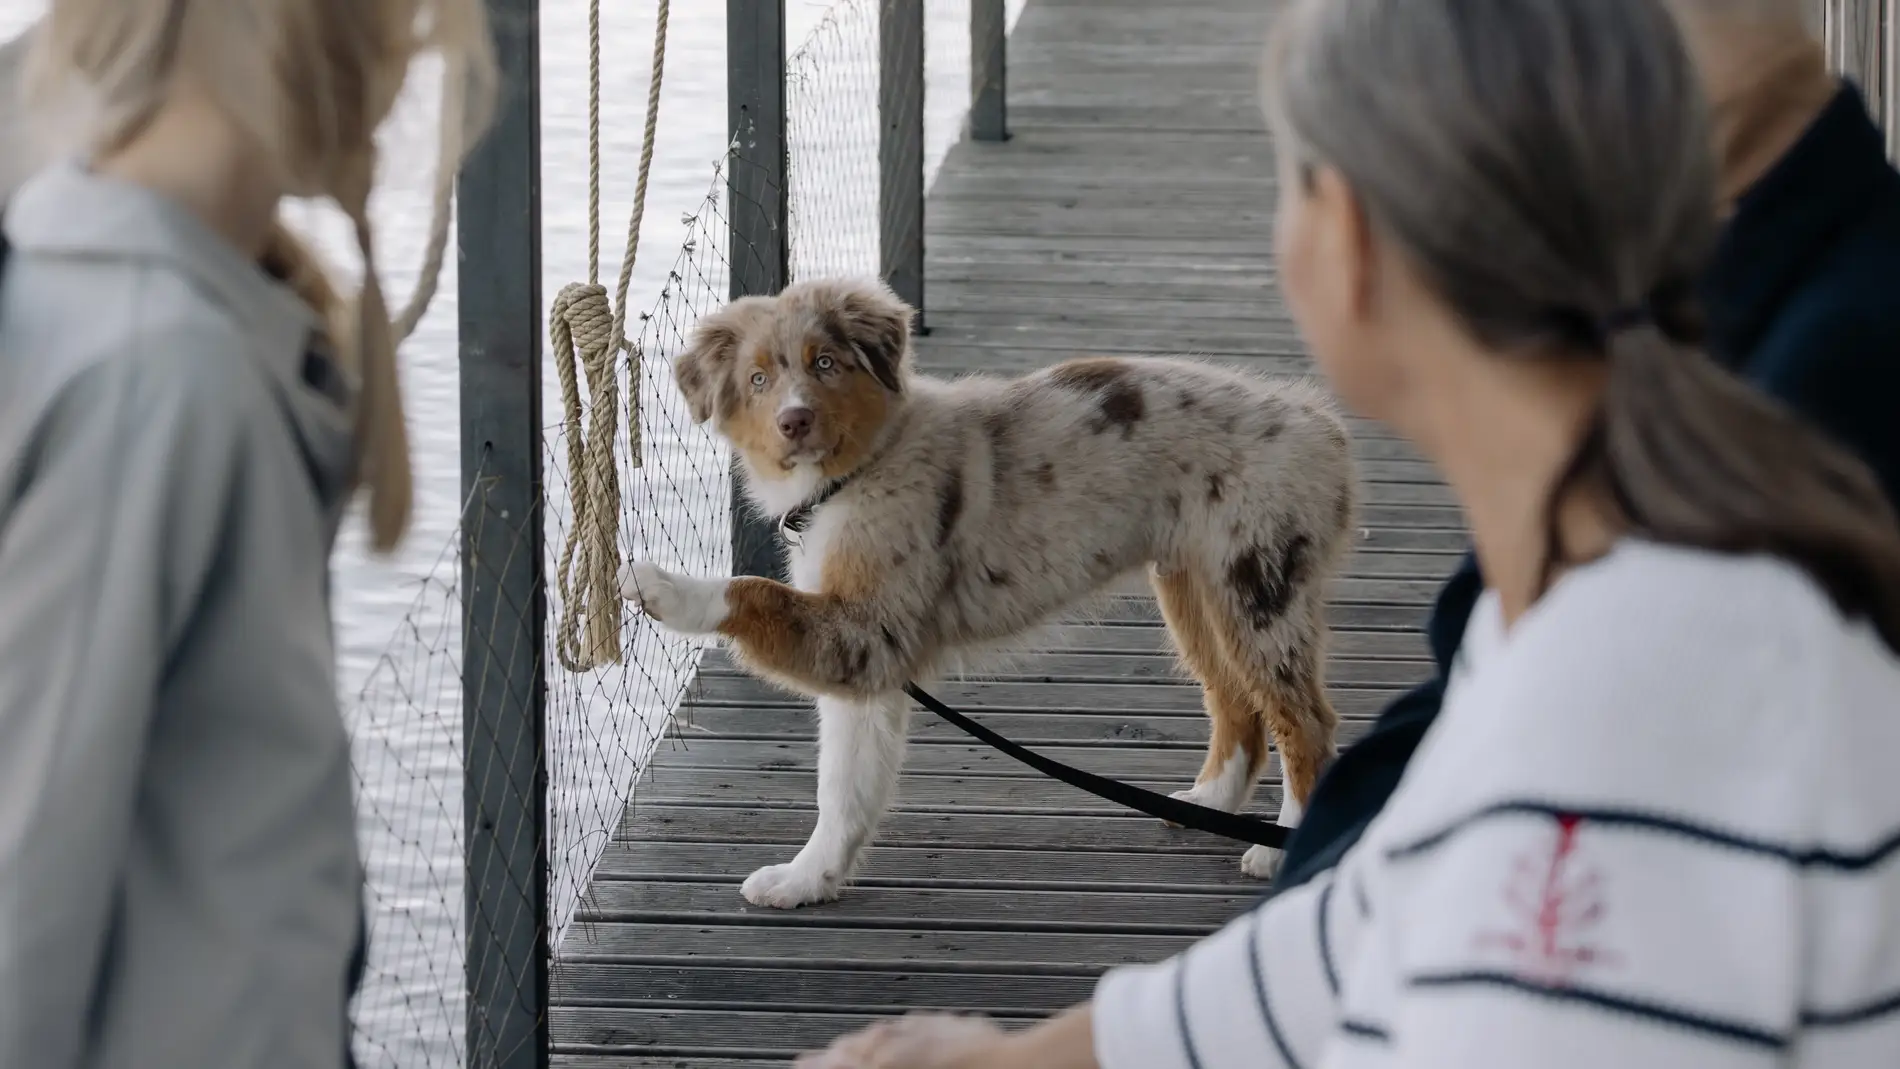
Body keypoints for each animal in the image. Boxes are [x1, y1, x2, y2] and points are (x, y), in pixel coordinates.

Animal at [630, 279, 1360, 911]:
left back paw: (1282, 848)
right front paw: (808, 879)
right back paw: (1208, 804)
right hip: (1194, 586)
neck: (860, 469)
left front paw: (662, 587)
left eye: (827, 363)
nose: (795, 421)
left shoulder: (869, 632)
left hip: (1259, 585)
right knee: (1235, 702)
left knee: (1305, 722)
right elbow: (844, 785)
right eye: (757, 380)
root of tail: (1321, 426)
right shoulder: (866, 662)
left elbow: (753, 592)